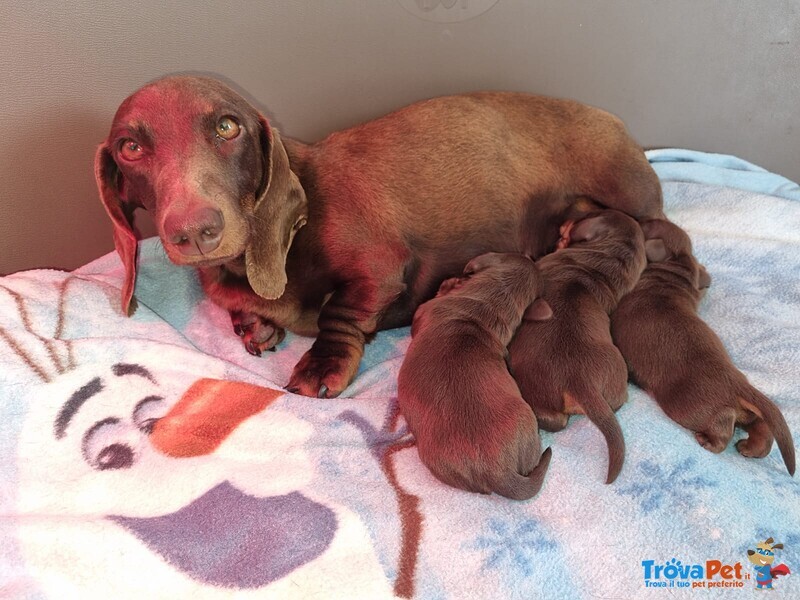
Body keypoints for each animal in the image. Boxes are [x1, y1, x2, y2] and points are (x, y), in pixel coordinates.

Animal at [98, 77, 664, 400]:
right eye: (130, 146)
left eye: (226, 127)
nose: (194, 231)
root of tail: (612, 118)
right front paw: (253, 324)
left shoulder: (380, 267)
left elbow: (340, 313)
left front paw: (322, 363)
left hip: (631, 195)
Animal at [510, 210, 648, 482]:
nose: (564, 221)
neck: (597, 266)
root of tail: (579, 380)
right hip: (617, 378)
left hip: (536, 387)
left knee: (554, 421)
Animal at [612, 219, 792, 474]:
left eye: (647, 226)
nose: (638, 219)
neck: (674, 272)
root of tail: (737, 383)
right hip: (746, 412)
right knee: (760, 425)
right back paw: (751, 448)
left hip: (688, 405)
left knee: (723, 422)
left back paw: (710, 441)